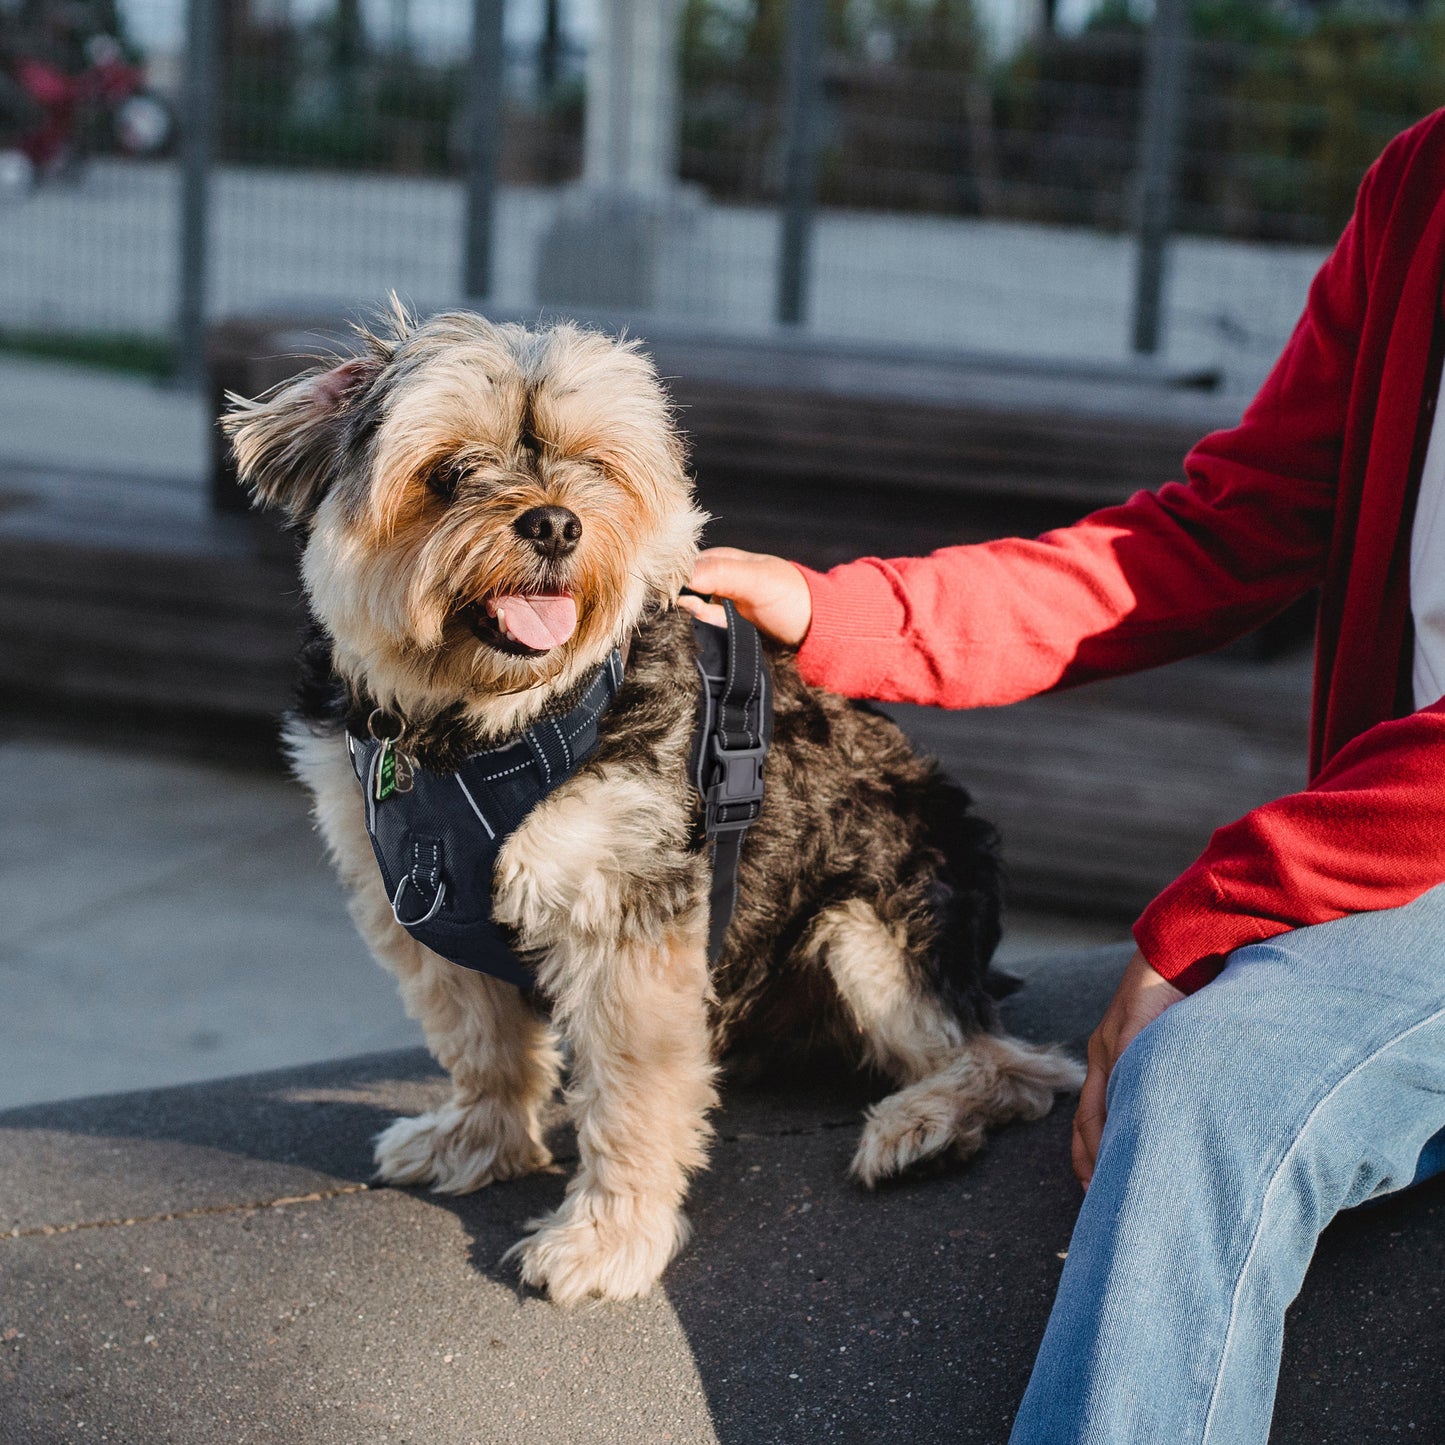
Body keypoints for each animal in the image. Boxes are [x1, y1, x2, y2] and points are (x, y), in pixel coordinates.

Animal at [222, 307, 1086, 1312]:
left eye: (594, 465)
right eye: (450, 472)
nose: (556, 521)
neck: (474, 730)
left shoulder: (629, 925)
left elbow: (630, 1095)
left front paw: (608, 1239)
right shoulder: (413, 909)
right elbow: (480, 1043)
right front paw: (478, 1140)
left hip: (867, 923)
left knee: (1016, 1062)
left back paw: (925, 1123)